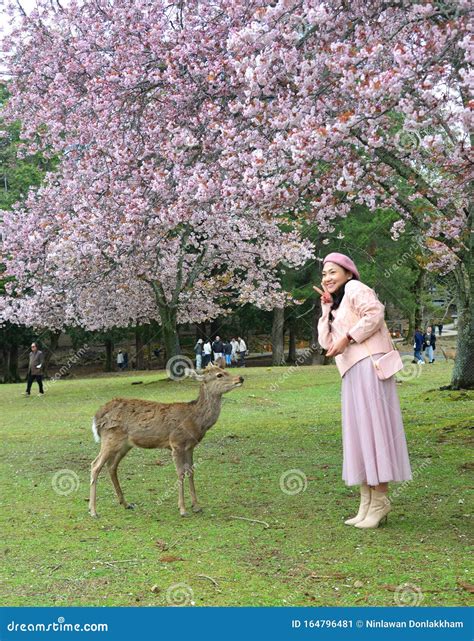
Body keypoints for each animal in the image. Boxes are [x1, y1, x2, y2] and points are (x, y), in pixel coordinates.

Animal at [89, 362, 244, 516]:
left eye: (224, 369)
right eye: (219, 375)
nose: (240, 378)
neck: (196, 420)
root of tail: (97, 416)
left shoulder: (190, 446)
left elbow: (191, 472)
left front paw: (196, 506)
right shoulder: (176, 443)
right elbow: (180, 473)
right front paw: (182, 509)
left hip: (124, 445)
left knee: (111, 466)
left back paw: (126, 504)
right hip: (110, 438)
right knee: (95, 465)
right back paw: (93, 511)